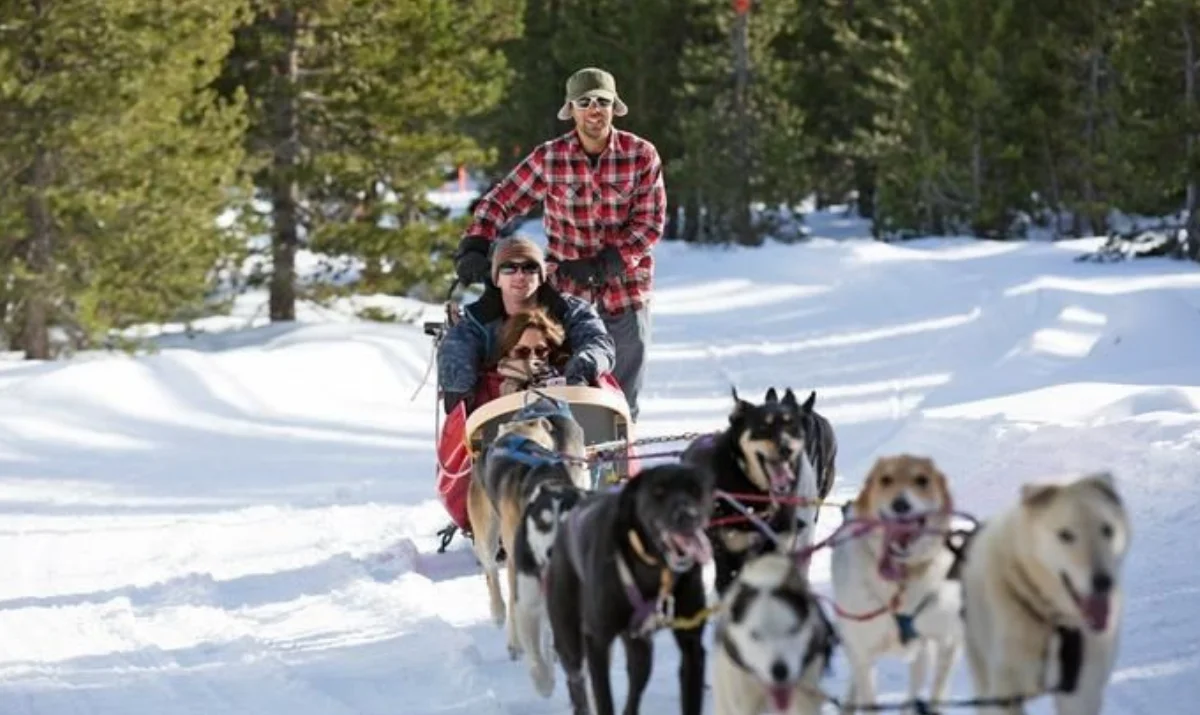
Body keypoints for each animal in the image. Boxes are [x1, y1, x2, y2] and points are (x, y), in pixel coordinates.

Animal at [549, 463, 715, 715]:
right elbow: (604, 701)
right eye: (658, 492)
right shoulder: (596, 641)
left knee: (634, 691)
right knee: (575, 680)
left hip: (641, 651)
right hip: (570, 639)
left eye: (695, 489)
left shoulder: (692, 646)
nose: (688, 516)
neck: (654, 567)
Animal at [825, 455, 964, 710]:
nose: (901, 504)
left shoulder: (946, 642)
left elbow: (935, 692)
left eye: (922, 480)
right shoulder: (862, 651)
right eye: (885, 479)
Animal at [955, 472, 1132, 710]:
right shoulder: (1005, 693)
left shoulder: (1082, 691)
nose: (1104, 582)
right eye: (1065, 535)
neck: (1054, 622)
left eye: (1107, 530)